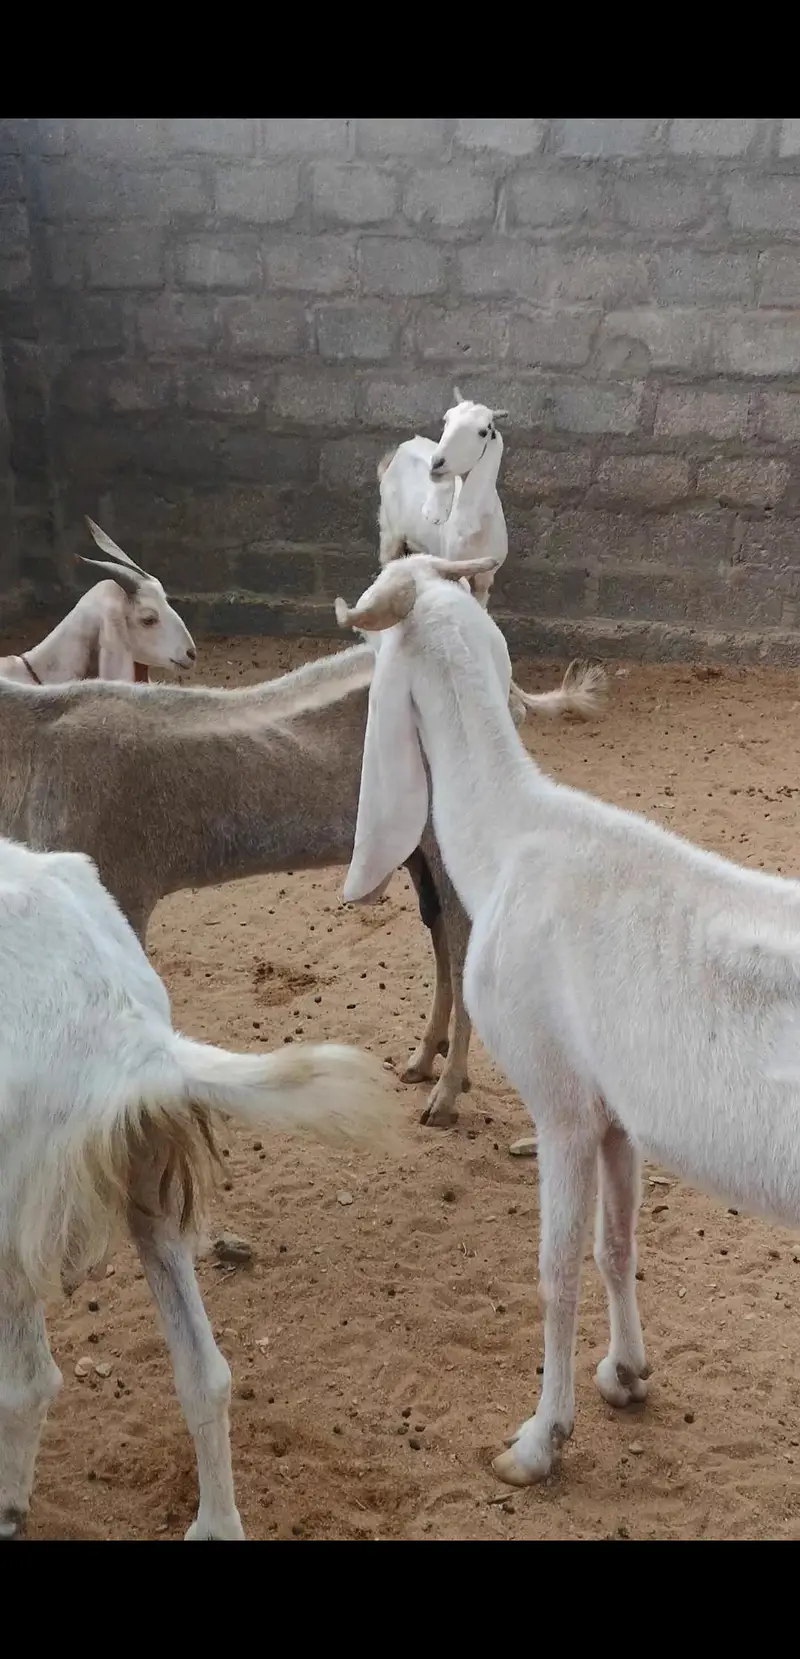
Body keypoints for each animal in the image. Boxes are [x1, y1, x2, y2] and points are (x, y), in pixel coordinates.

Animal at [0, 832, 398, 1539]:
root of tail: (128, 1033)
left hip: (15, 1213)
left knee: (29, 1382)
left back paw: (7, 1508)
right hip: (146, 1184)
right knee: (204, 1372)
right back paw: (216, 1522)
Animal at [337, 551, 800, 1491]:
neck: (511, 836)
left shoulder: (560, 1103)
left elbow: (555, 1270)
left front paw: (537, 1441)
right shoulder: (616, 1112)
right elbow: (615, 1244)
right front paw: (626, 1373)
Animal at [377, 387, 607, 723]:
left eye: (484, 430)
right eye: (446, 419)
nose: (437, 464)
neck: (476, 528)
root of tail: (398, 453)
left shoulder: (486, 578)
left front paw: (511, 702)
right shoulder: (454, 568)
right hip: (389, 537)